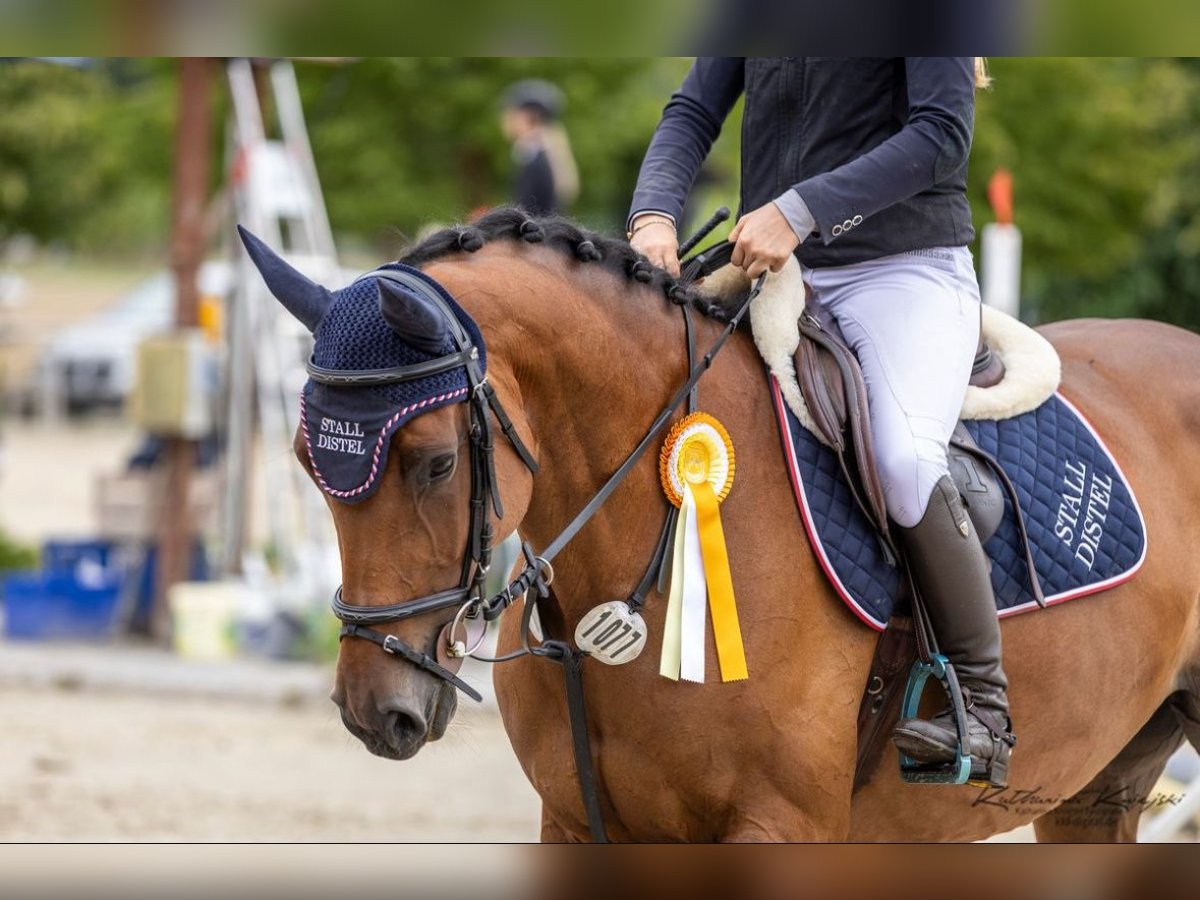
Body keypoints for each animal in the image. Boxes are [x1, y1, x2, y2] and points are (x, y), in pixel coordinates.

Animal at [250, 208, 1200, 841]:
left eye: (438, 463)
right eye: (304, 459)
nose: (376, 711)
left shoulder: (782, 828)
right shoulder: (576, 820)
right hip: (1098, 791)